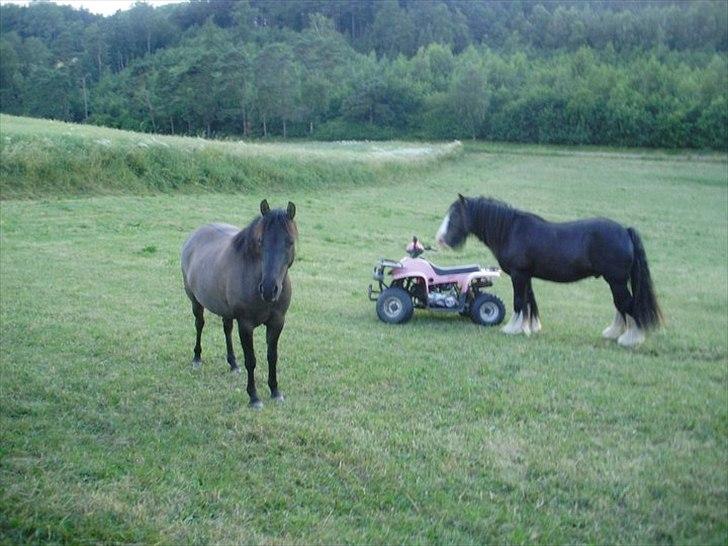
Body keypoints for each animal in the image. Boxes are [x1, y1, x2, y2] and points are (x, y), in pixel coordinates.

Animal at [181, 198, 298, 406]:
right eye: (260, 241)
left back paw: (233, 364)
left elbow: (272, 357)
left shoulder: (277, 322)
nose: (269, 289)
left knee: (226, 329)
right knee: (199, 324)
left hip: (225, 310)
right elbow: (251, 360)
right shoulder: (246, 325)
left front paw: (275, 391)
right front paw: (254, 397)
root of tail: (194, 236)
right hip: (195, 302)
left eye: (290, 241)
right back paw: (197, 358)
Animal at [436, 193, 664, 344]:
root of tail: (625, 231)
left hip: (616, 280)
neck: (511, 230)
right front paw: (529, 327)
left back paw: (630, 338)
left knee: (627, 304)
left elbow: (519, 301)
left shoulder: (518, 275)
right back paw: (614, 333)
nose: (440, 240)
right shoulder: (526, 276)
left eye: (454, 216)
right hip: (615, 281)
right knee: (620, 305)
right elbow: (529, 301)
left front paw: (512, 328)